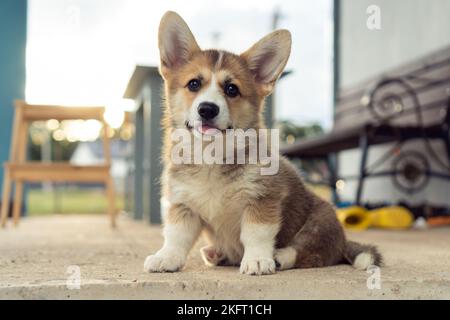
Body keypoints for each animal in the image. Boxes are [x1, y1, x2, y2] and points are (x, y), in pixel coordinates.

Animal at [142, 11, 382, 276]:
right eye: (194, 84)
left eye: (232, 89)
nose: (207, 109)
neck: (211, 155)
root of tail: (343, 242)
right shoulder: (183, 204)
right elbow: (177, 236)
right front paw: (166, 257)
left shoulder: (262, 200)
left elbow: (255, 234)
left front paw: (257, 260)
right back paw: (216, 253)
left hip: (322, 221)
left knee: (308, 251)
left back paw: (279, 257)